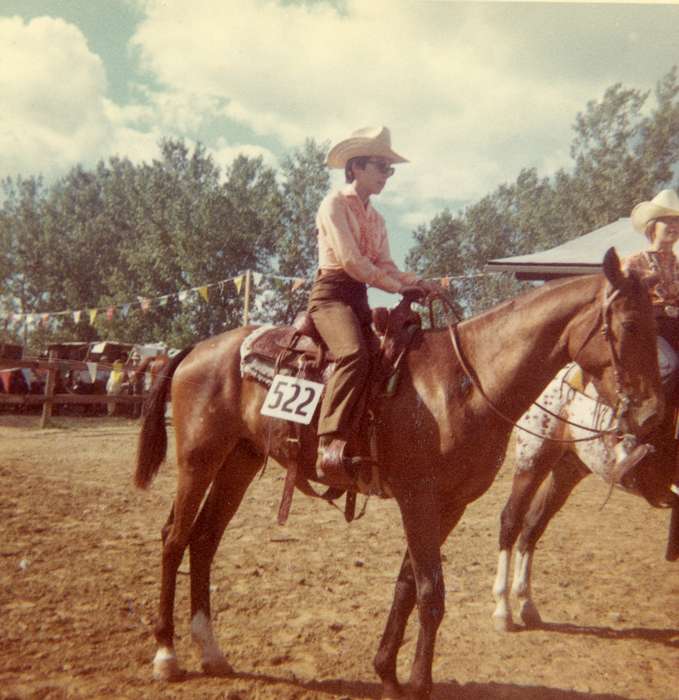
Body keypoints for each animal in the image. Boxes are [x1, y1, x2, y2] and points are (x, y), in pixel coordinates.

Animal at [494, 364, 679, 632]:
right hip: (533, 458)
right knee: (511, 521)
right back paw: (503, 611)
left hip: (567, 468)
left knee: (532, 526)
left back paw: (526, 604)